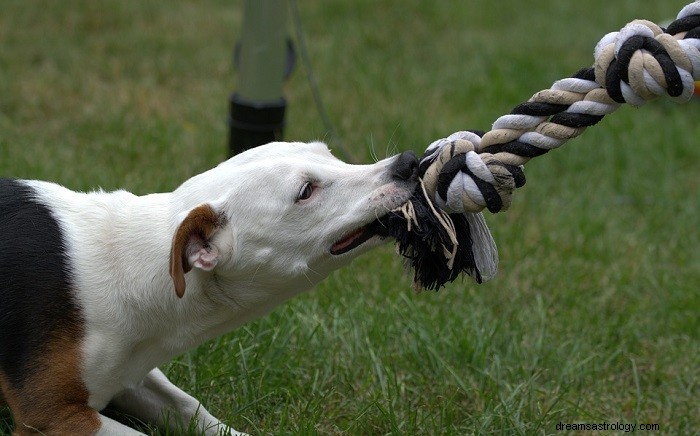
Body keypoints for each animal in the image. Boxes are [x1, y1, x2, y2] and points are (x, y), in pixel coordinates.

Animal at [0, 141, 418, 434]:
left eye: (330, 154)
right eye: (305, 191)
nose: (409, 163)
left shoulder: (130, 373)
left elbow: (190, 407)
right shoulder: (50, 415)